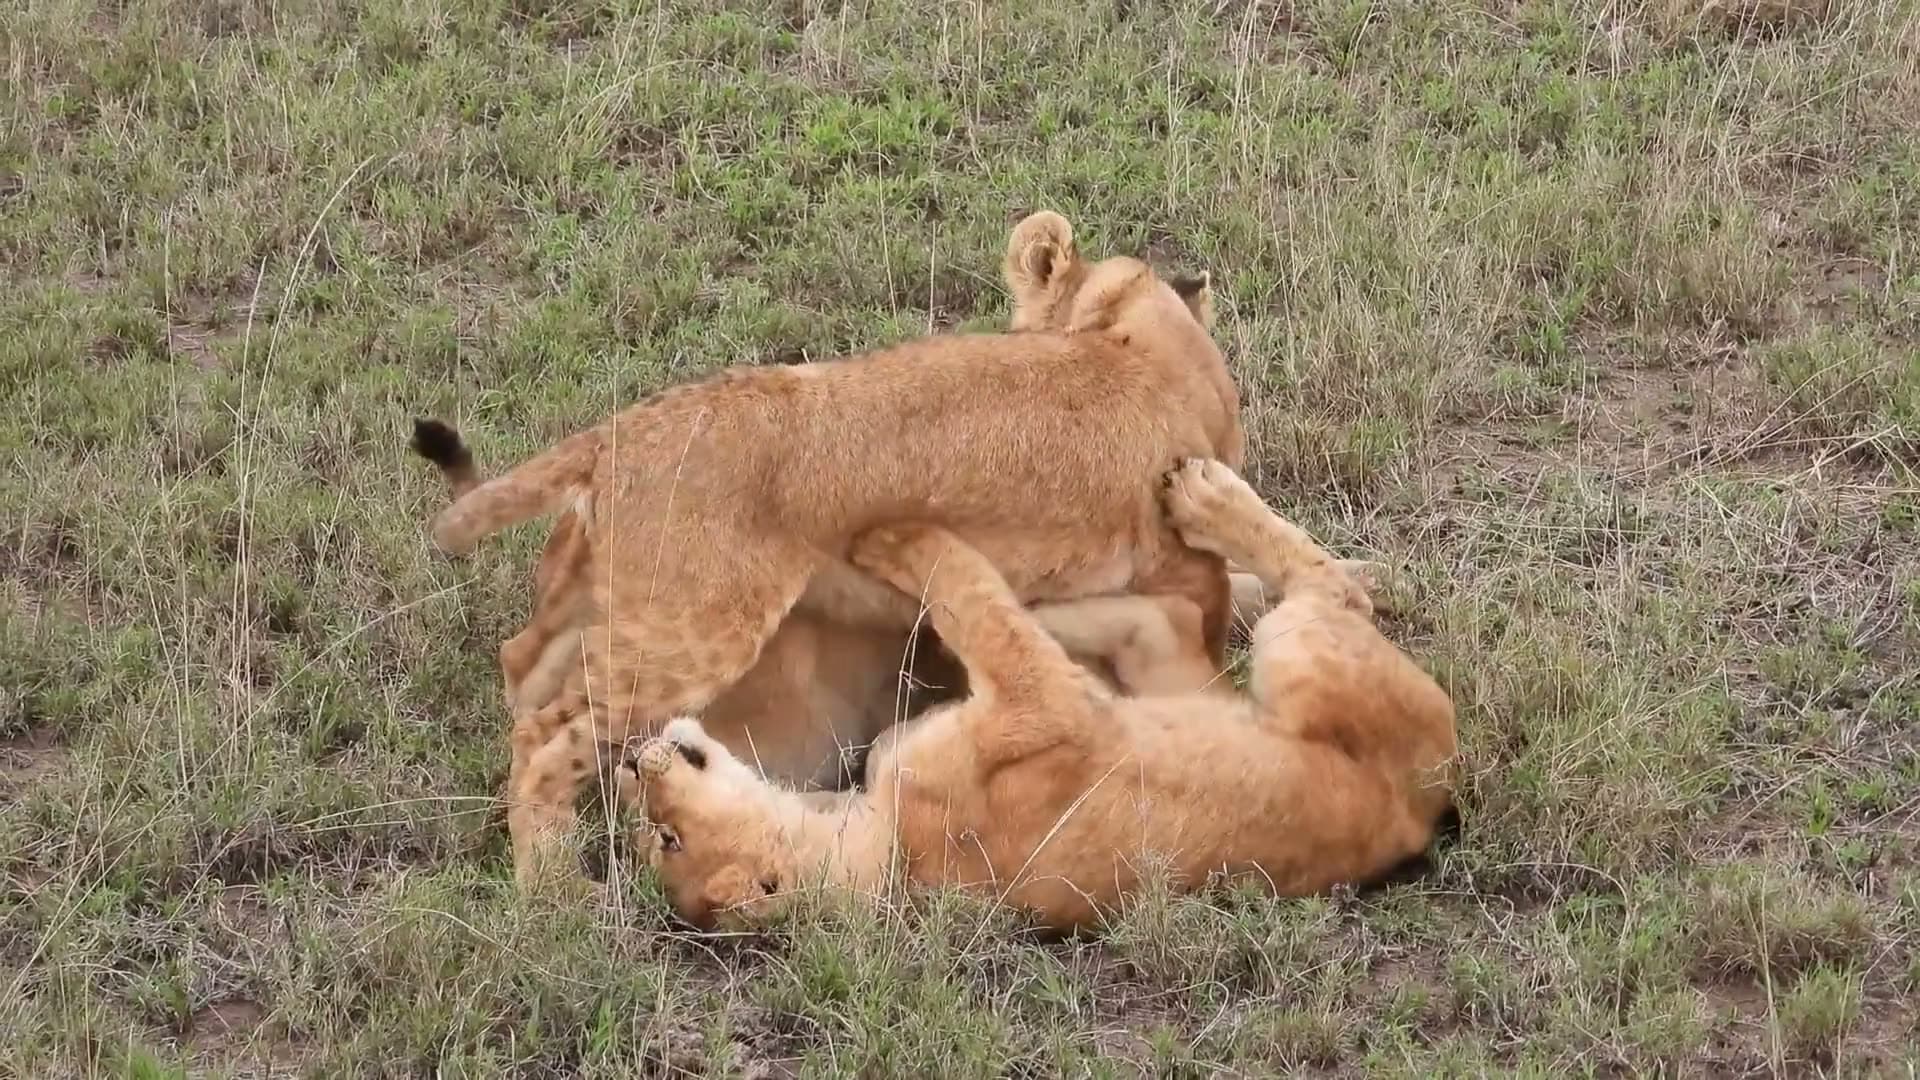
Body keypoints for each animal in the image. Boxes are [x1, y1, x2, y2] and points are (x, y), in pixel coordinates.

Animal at [422, 212, 1252, 886]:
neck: (1140, 343)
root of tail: (616, 434)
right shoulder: (1180, 563)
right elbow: (1203, 627)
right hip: (694, 634)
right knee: (543, 738)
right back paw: (552, 889)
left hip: (610, 600)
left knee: (521, 663)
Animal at [621, 458, 1459, 932]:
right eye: (666, 840)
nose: (636, 764)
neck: (874, 850)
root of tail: (1427, 813)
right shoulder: (1044, 704)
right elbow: (975, 599)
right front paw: (896, 537)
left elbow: (978, 605)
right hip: (1301, 653)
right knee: (1311, 597)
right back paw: (1208, 500)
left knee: (1179, 611)